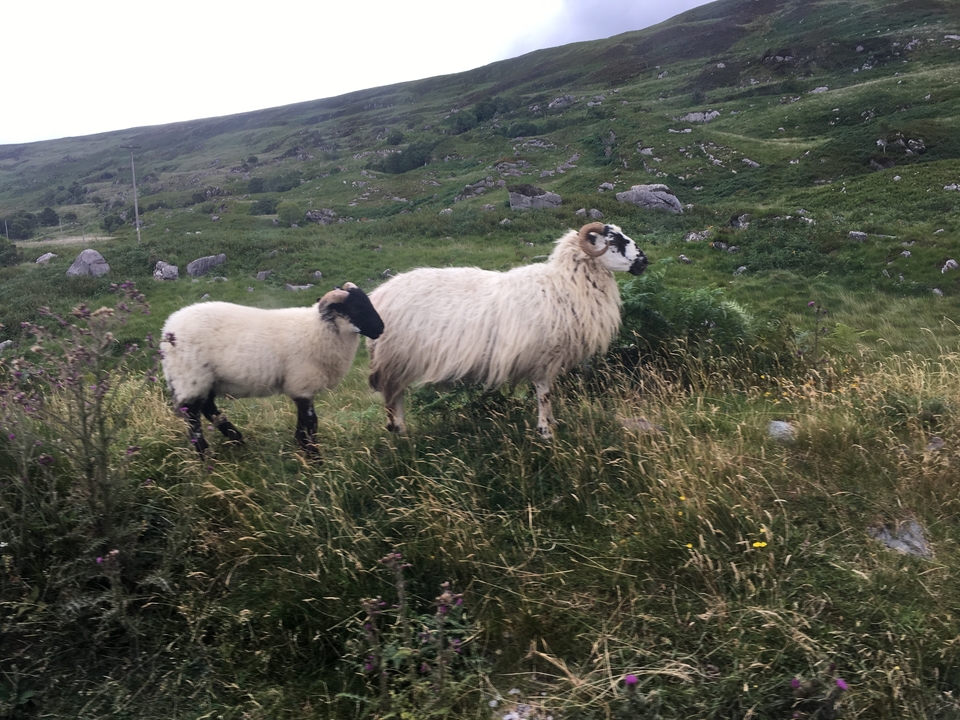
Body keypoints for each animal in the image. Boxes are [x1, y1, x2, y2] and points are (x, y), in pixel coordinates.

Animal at [159, 283, 384, 456]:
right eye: (356, 309)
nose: (381, 329)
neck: (319, 329)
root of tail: (168, 328)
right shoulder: (302, 382)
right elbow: (311, 421)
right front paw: (314, 456)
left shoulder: (298, 386)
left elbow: (303, 421)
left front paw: (301, 445)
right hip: (191, 378)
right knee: (193, 419)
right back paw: (206, 456)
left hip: (208, 380)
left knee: (208, 408)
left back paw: (236, 439)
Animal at [367, 222, 647, 439]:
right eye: (614, 240)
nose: (644, 262)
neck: (564, 284)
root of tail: (379, 295)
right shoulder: (543, 356)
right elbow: (544, 394)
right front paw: (545, 432)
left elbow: (549, 394)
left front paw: (552, 423)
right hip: (395, 359)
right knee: (393, 399)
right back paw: (400, 432)